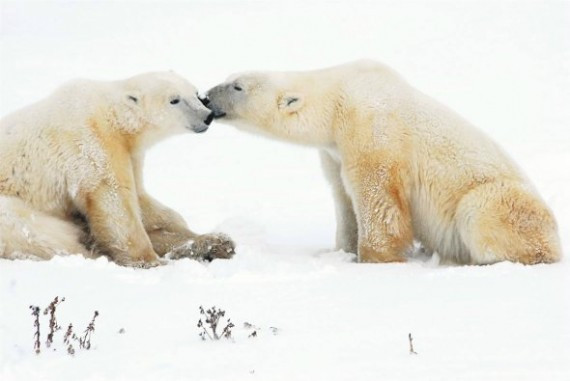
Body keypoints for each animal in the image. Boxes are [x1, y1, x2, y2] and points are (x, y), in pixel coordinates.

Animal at [0, 72, 234, 268]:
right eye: (174, 100)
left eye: (195, 93)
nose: (207, 116)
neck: (112, 116)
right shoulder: (91, 144)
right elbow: (114, 201)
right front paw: (150, 260)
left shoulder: (130, 154)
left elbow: (140, 198)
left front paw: (201, 237)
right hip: (12, 209)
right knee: (41, 232)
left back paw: (217, 243)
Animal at [204, 60, 560, 266]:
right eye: (229, 78)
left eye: (237, 86)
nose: (206, 98)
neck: (336, 100)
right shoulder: (334, 151)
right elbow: (343, 195)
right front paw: (340, 251)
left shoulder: (371, 125)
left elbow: (375, 193)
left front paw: (376, 258)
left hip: (507, 204)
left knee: (481, 212)